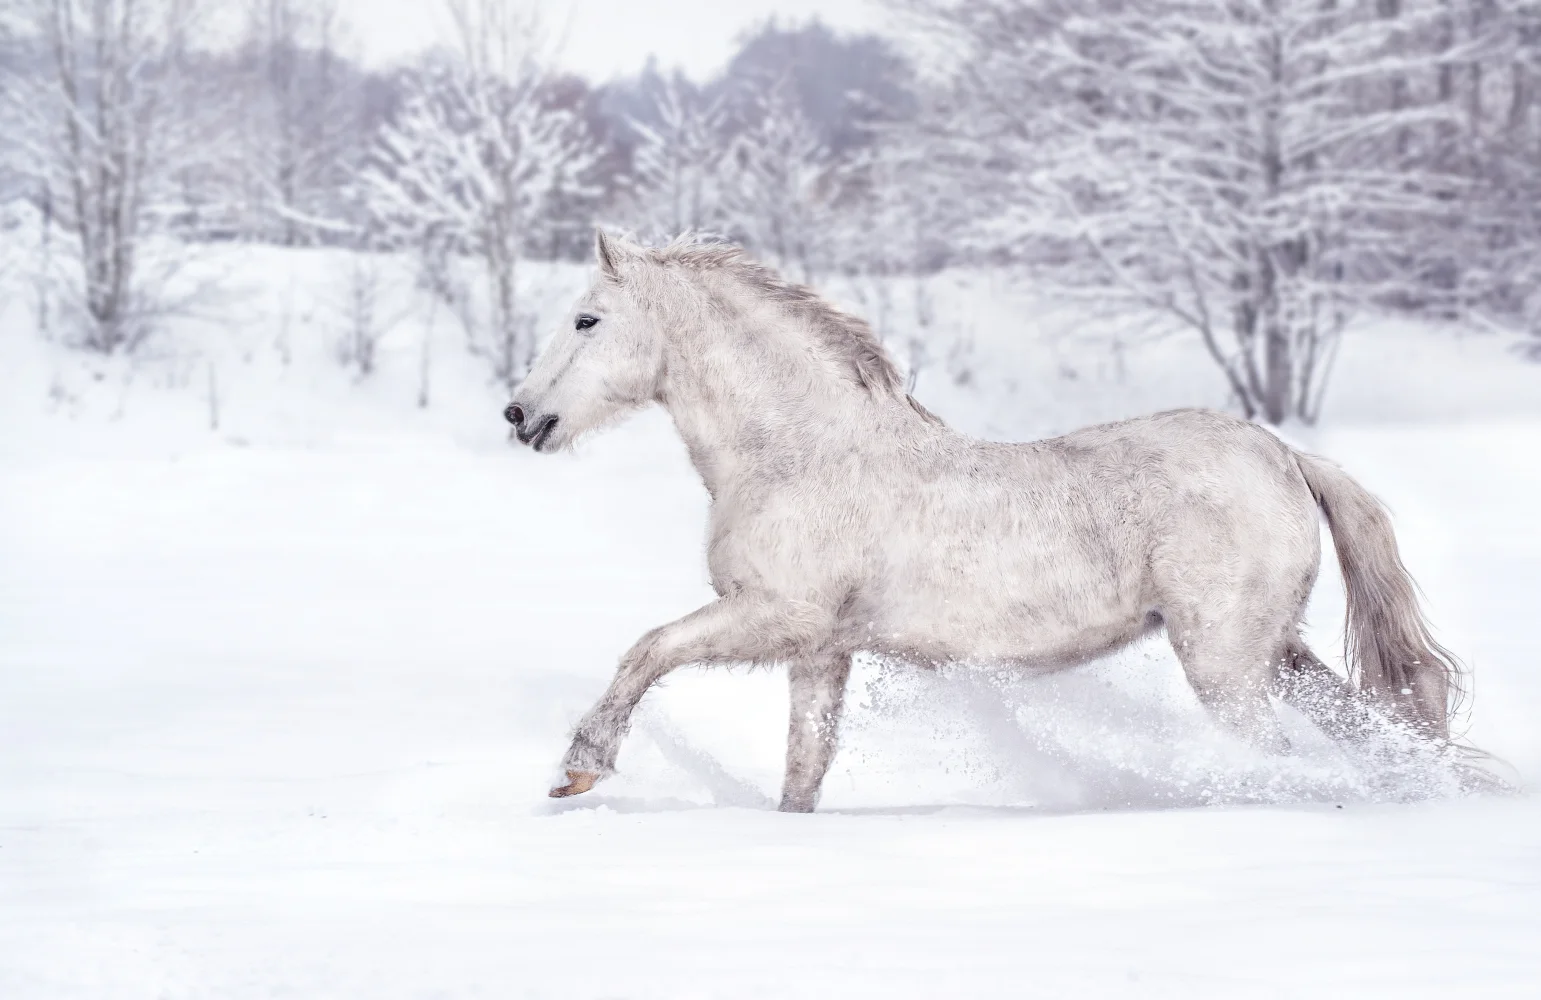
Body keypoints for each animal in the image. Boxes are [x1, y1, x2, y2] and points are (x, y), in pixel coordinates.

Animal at [504, 231, 1466, 812]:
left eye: (586, 319)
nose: (520, 415)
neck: (800, 451)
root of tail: (1283, 456)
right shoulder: (820, 652)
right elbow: (804, 767)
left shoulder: (775, 616)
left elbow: (646, 650)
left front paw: (580, 768)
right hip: (1276, 653)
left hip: (1225, 663)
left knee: (1276, 757)